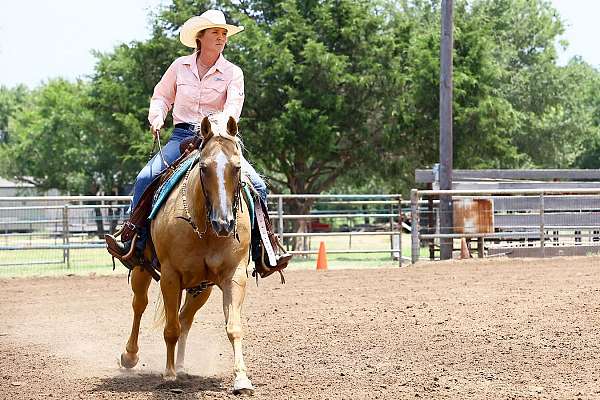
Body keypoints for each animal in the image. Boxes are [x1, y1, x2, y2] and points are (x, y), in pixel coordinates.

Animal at [120, 114, 254, 396]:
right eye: (204, 168)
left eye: (237, 168)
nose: (224, 223)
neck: (205, 228)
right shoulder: (170, 277)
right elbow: (170, 329)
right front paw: (169, 375)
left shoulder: (234, 276)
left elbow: (233, 327)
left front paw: (241, 379)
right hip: (141, 269)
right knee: (140, 306)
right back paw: (131, 356)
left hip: (201, 288)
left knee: (185, 318)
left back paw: (181, 366)